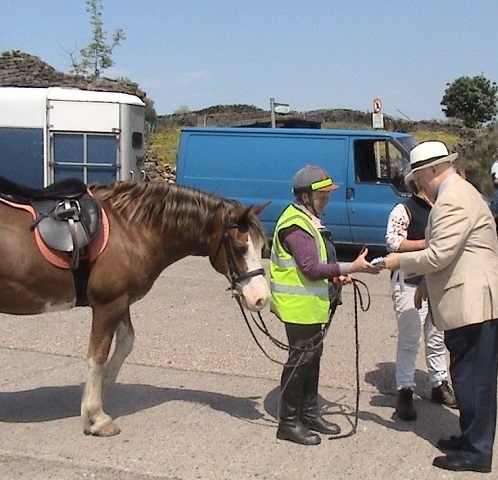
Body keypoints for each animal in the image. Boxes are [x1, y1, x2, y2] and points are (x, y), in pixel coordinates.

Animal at [0, 179, 272, 436]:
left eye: (262, 247)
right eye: (240, 248)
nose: (261, 298)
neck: (129, 229)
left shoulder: (121, 301)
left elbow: (126, 343)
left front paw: (100, 393)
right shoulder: (108, 304)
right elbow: (97, 356)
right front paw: (95, 417)